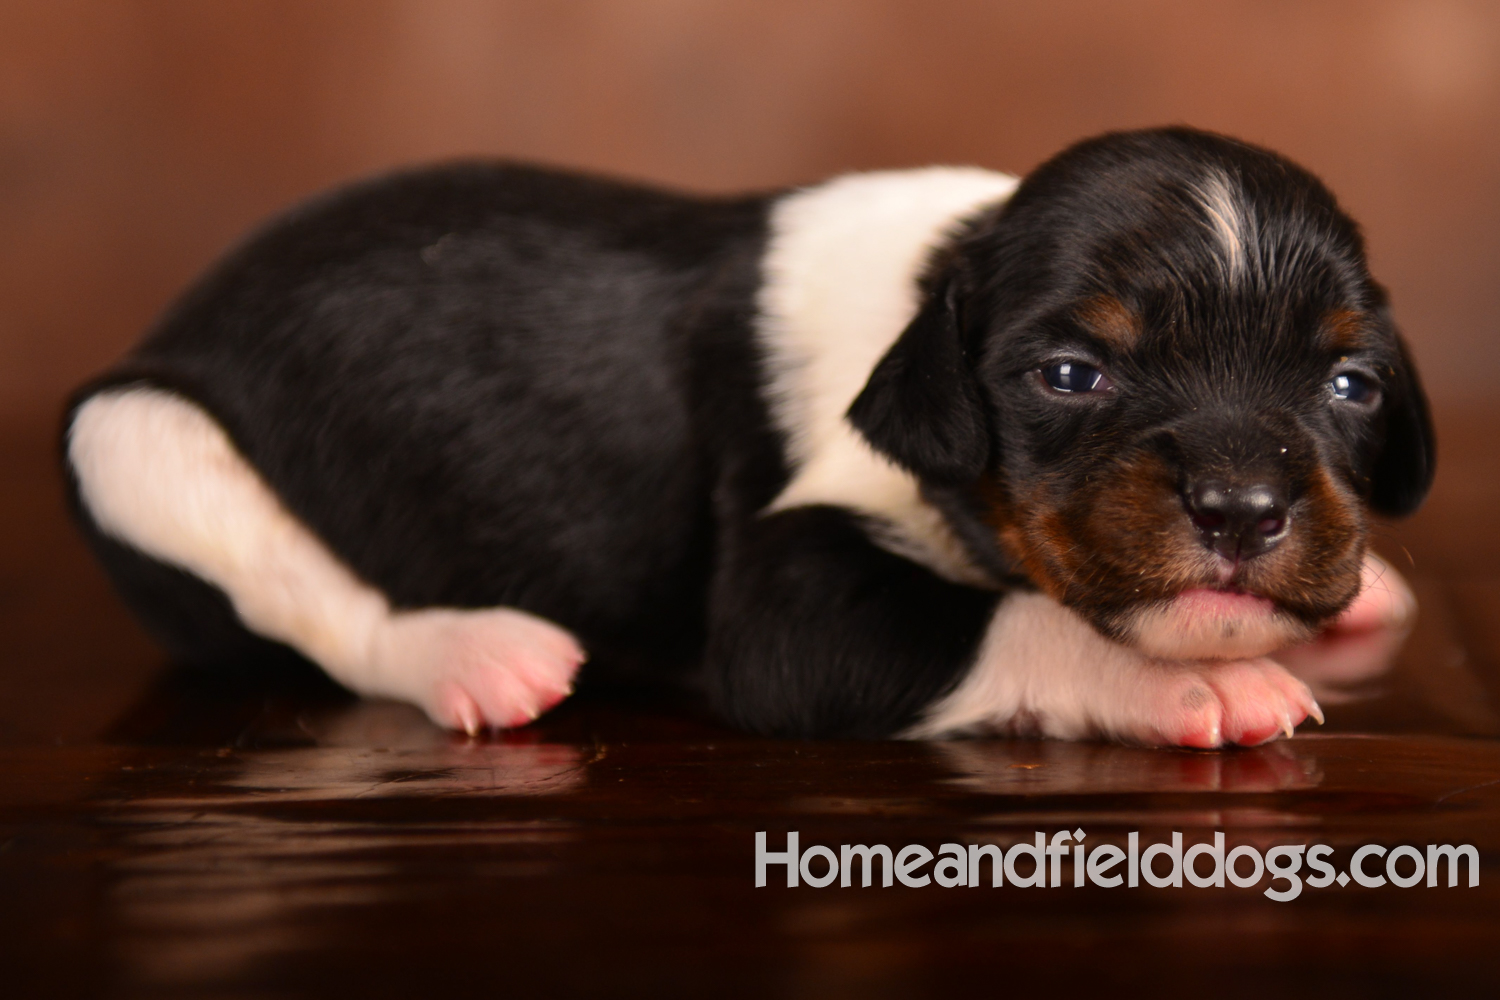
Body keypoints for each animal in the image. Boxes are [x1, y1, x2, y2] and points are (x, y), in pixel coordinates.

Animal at [64, 127, 1434, 743]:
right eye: (1071, 375)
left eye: (1352, 385)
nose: (1245, 512)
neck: (935, 274)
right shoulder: (790, 604)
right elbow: (1009, 617)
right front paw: (1193, 679)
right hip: (133, 441)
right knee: (327, 612)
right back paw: (478, 655)